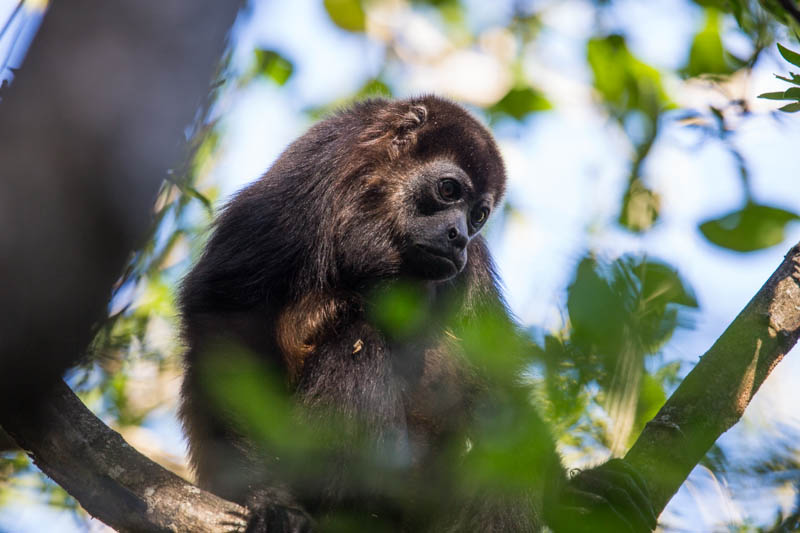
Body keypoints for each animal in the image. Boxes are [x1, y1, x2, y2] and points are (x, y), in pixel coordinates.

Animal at [180, 96, 656, 532]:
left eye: (479, 216)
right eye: (448, 190)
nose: (459, 235)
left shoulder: (473, 264)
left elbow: (497, 375)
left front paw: (575, 495)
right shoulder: (294, 194)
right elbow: (222, 316)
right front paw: (264, 495)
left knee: (501, 412)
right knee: (359, 342)